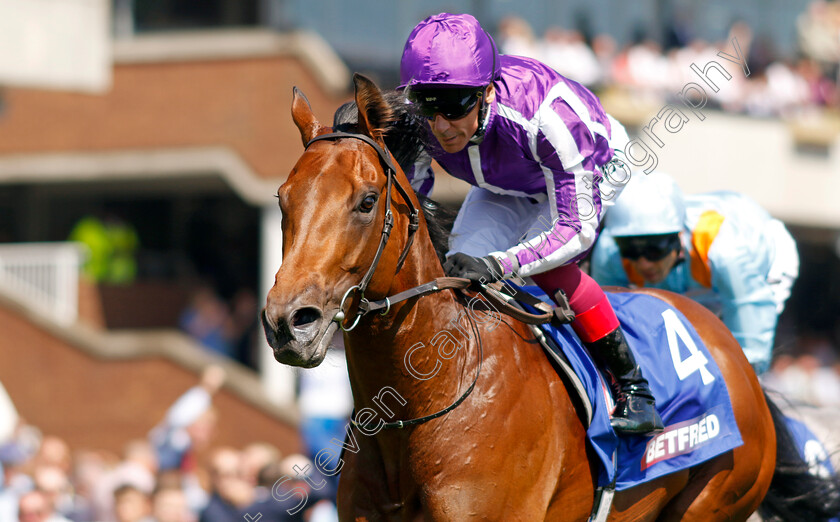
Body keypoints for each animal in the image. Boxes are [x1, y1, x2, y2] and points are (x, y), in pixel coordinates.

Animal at [264, 74, 840, 520]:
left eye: (366, 201)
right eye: (282, 199)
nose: (290, 321)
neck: (428, 394)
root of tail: (734, 353)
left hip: (713, 499)